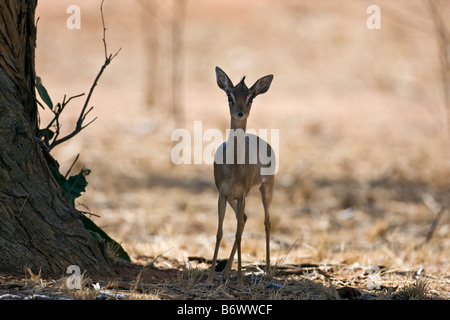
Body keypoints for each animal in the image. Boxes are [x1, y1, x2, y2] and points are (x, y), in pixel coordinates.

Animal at [207, 65, 276, 284]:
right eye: (229, 95)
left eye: (250, 98)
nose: (240, 113)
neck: (234, 168)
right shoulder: (222, 194)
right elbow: (220, 232)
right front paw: (210, 277)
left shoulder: (243, 195)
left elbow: (237, 234)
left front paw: (238, 279)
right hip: (234, 199)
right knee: (244, 219)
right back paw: (226, 271)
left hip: (266, 189)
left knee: (266, 222)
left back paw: (267, 269)